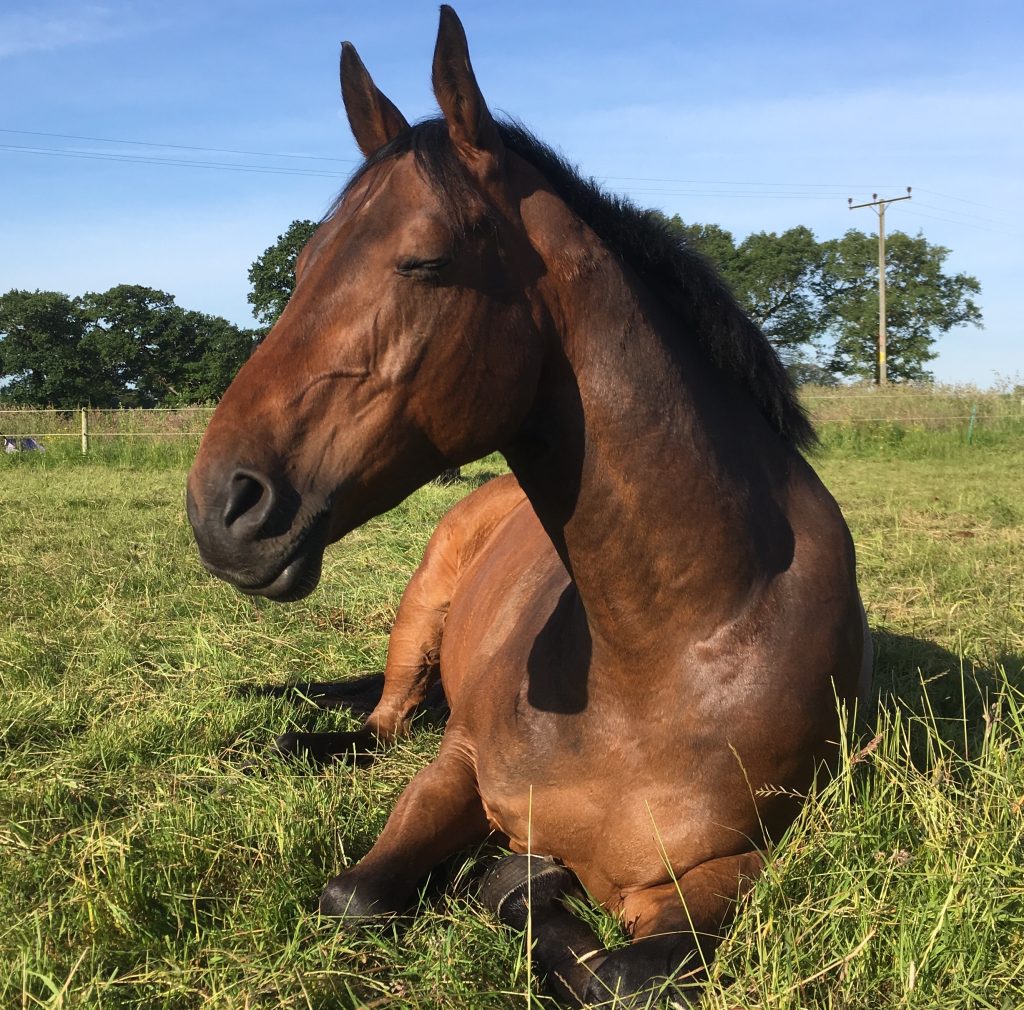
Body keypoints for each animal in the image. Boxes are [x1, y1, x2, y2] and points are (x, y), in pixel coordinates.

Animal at [187, 8, 871, 1005]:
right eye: (305, 262)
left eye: (427, 261)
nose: (223, 504)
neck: (681, 639)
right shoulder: (458, 767)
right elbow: (358, 894)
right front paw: (507, 876)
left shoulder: (729, 868)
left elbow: (624, 972)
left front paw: (520, 880)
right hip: (420, 615)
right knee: (382, 726)